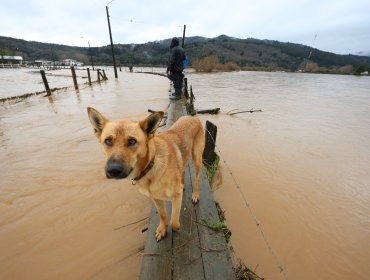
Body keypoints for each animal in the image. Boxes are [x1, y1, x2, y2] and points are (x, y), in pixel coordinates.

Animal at [88, 107, 207, 241]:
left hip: (197, 159)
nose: (113, 170)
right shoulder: (155, 198)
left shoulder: (176, 196)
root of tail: (192, 117)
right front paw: (162, 229)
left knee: (196, 179)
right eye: (108, 141)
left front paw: (176, 228)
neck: (150, 166)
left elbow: (173, 222)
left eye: (132, 141)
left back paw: (195, 195)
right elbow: (163, 215)